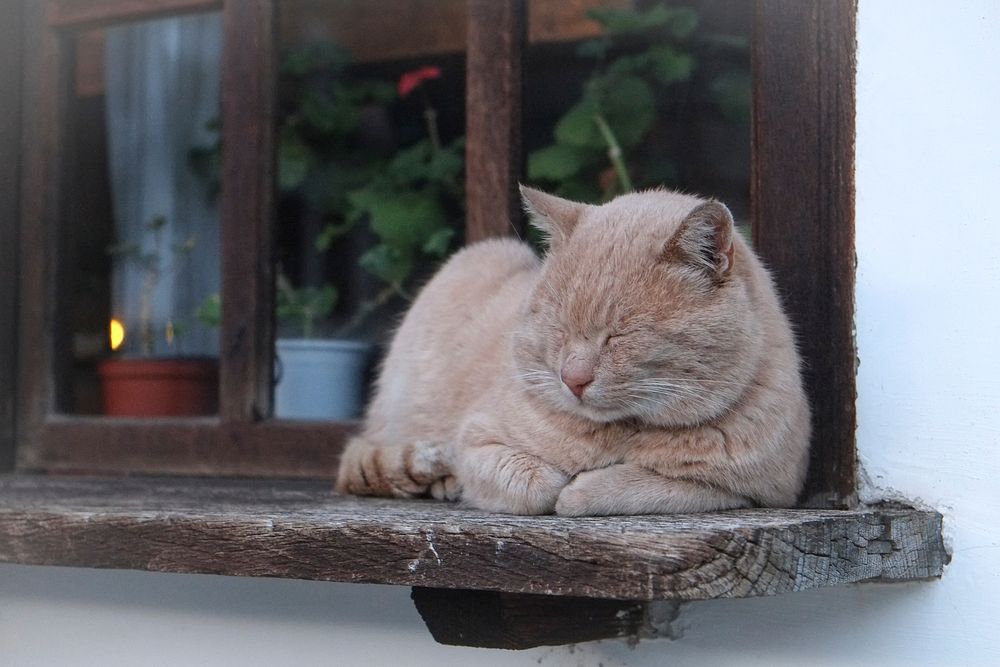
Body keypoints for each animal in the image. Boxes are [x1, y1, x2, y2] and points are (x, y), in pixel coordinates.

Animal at [336, 187, 812, 516]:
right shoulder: (476, 441)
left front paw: (584, 488)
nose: (573, 379)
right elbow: (535, 482)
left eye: (619, 335)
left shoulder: (757, 493)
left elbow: (641, 486)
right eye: (560, 329)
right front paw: (555, 483)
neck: (623, 431)